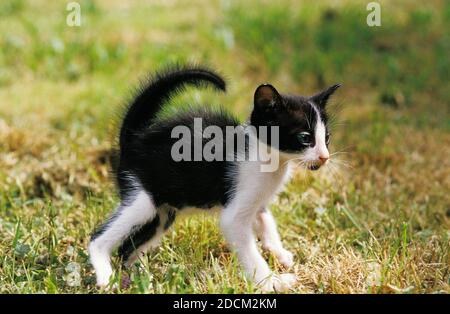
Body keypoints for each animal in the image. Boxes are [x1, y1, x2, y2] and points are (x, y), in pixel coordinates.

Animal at [89, 65, 340, 292]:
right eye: (305, 137)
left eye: (326, 138)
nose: (324, 157)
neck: (270, 159)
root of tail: (133, 138)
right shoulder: (235, 214)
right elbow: (249, 250)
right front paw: (271, 283)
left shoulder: (257, 200)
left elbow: (266, 220)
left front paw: (279, 253)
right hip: (143, 199)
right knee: (98, 238)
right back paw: (106, 276)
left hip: (163, 212)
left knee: (128, 249)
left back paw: (142, 278)